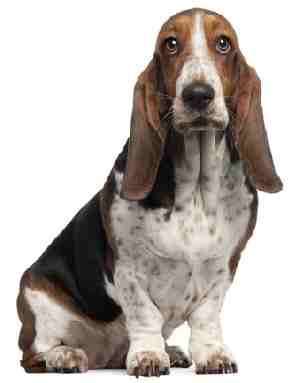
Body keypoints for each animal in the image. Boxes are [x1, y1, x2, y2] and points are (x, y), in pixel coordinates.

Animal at [17, 6, 282, 378]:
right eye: (170, 44)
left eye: (223, 43)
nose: (197, 94)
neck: (196, 189)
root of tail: (102, 354)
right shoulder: (128, 270)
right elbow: (144, 316)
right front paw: (148, 356)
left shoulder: (224, 266)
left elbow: (206, 317)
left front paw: (212, 355)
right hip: (37, 298)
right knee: (33, 354)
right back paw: (65, 356)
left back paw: (170, 351)